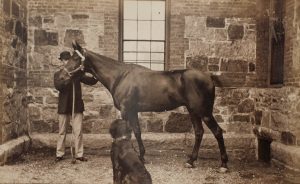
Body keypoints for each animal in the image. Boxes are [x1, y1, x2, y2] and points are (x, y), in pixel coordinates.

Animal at [56, 41, 227, 172]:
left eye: (76, 58)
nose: (61, 77)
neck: (120, 76)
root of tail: (208, 77)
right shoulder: (133, 111)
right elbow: (137, 132)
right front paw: (142, 156)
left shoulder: (125, 111)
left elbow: (128, 132)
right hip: (193, 111)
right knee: (199, 132)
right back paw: (191, 161)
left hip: (204, 112)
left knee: (217, 131)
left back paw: (223, 164)